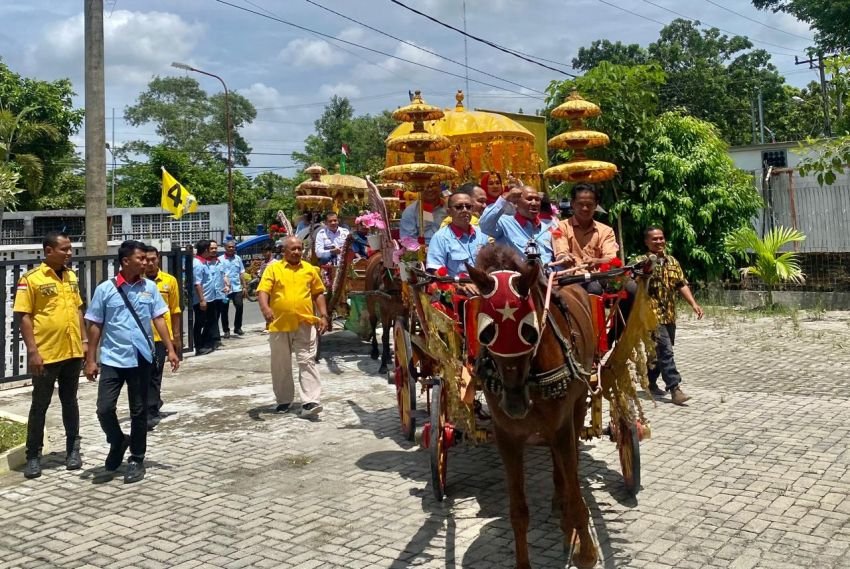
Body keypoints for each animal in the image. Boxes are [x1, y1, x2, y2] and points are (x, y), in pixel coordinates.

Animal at [464, 244, 596, 568]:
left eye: (529, 331)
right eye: (486, 332)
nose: (514, 403)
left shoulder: (561, 427)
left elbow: (576, 495)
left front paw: (585, 550)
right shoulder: (506, 436)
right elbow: (518, 512)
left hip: (576, 407)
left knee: (569, 462)